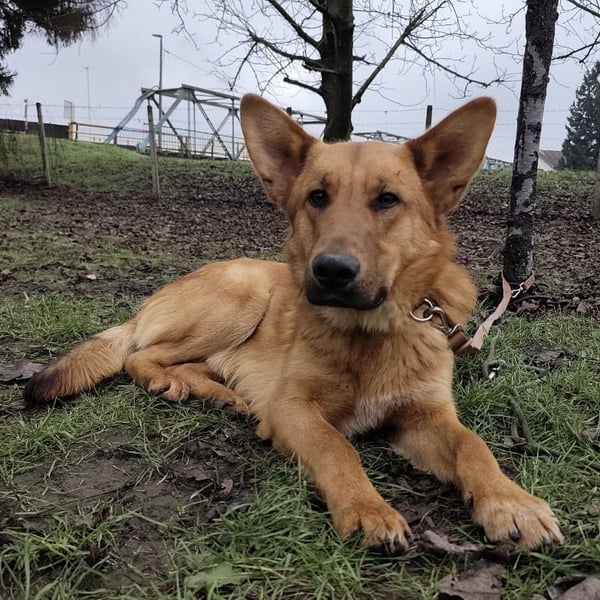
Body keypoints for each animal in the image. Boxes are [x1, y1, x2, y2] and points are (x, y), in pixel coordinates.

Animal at [24, 94, 563, 552]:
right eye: (317, 197)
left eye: (388, 200)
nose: (332, 271)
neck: (369, 333)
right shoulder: (293, 408)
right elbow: (337, 448)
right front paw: (367, 507)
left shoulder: (426, 417)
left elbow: (474, 445)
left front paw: (510, 501)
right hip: (242, 299)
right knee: (141, 354)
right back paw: (171, 382)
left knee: (190, 363)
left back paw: (220, 394)